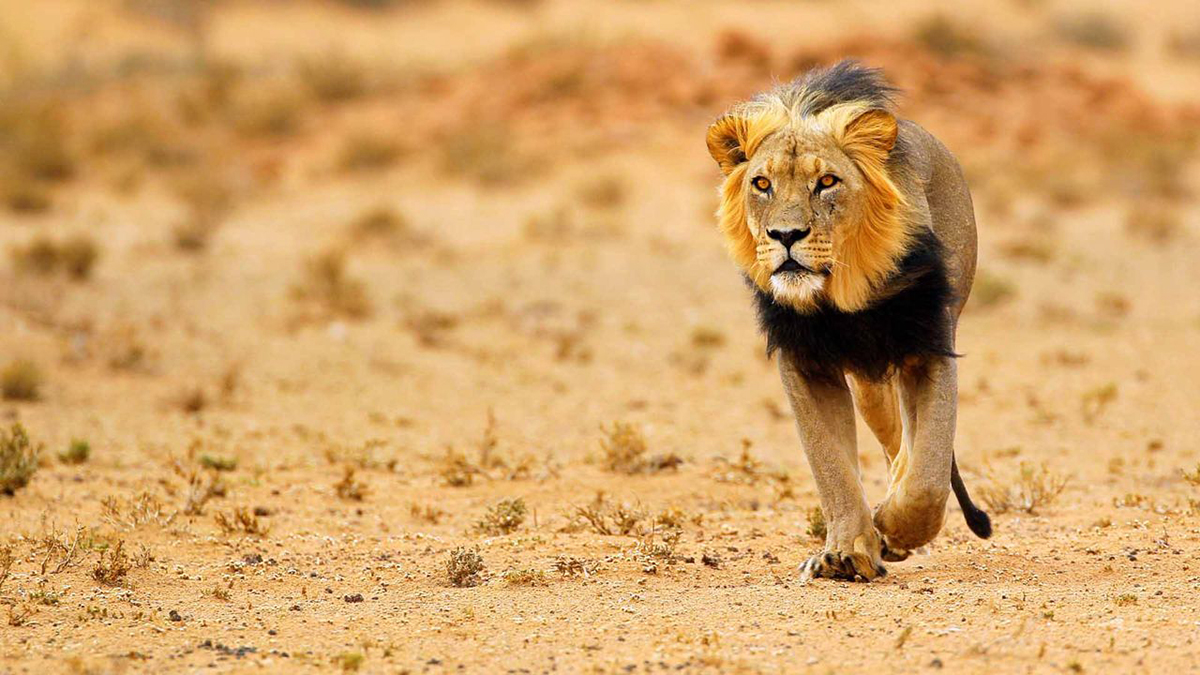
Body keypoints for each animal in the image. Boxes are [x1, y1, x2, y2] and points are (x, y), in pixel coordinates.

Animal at [700, 60, 993, 581]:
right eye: (761, 184)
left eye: (827, 182)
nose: (786, 235)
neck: (840, 297)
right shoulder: (805, 362)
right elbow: (830, 465)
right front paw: (848, 551)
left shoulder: (928, 347)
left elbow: (929, 476)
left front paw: (896, 526)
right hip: (868, 382)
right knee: (892, 436)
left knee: (910, 447)